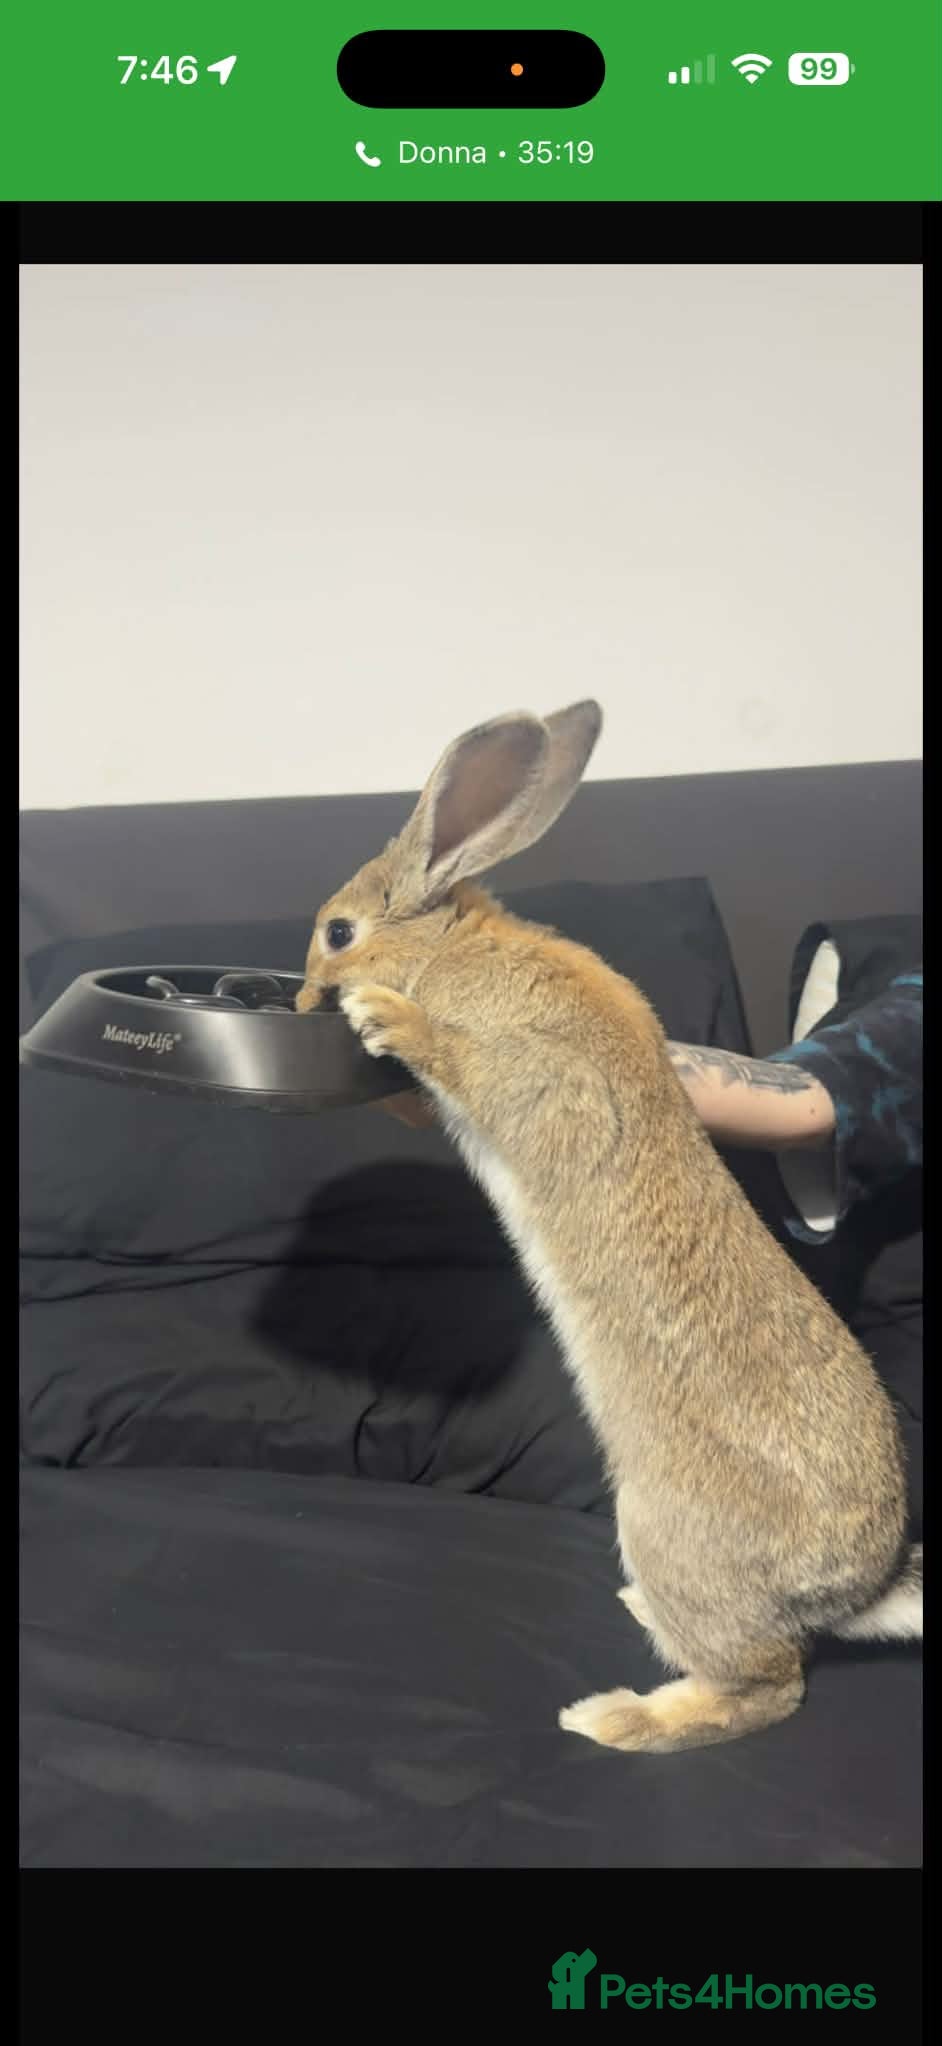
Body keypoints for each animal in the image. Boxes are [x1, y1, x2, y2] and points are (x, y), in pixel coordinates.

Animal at [296, 701, 922, 1754]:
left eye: (340, 931)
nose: (305, 998)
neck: (453, 950)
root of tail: (856, 1593)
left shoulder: (548, 1078)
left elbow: (486, 1070)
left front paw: (388, 1018)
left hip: (671, 1535)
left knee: (768, 1689)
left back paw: (614, 1719)